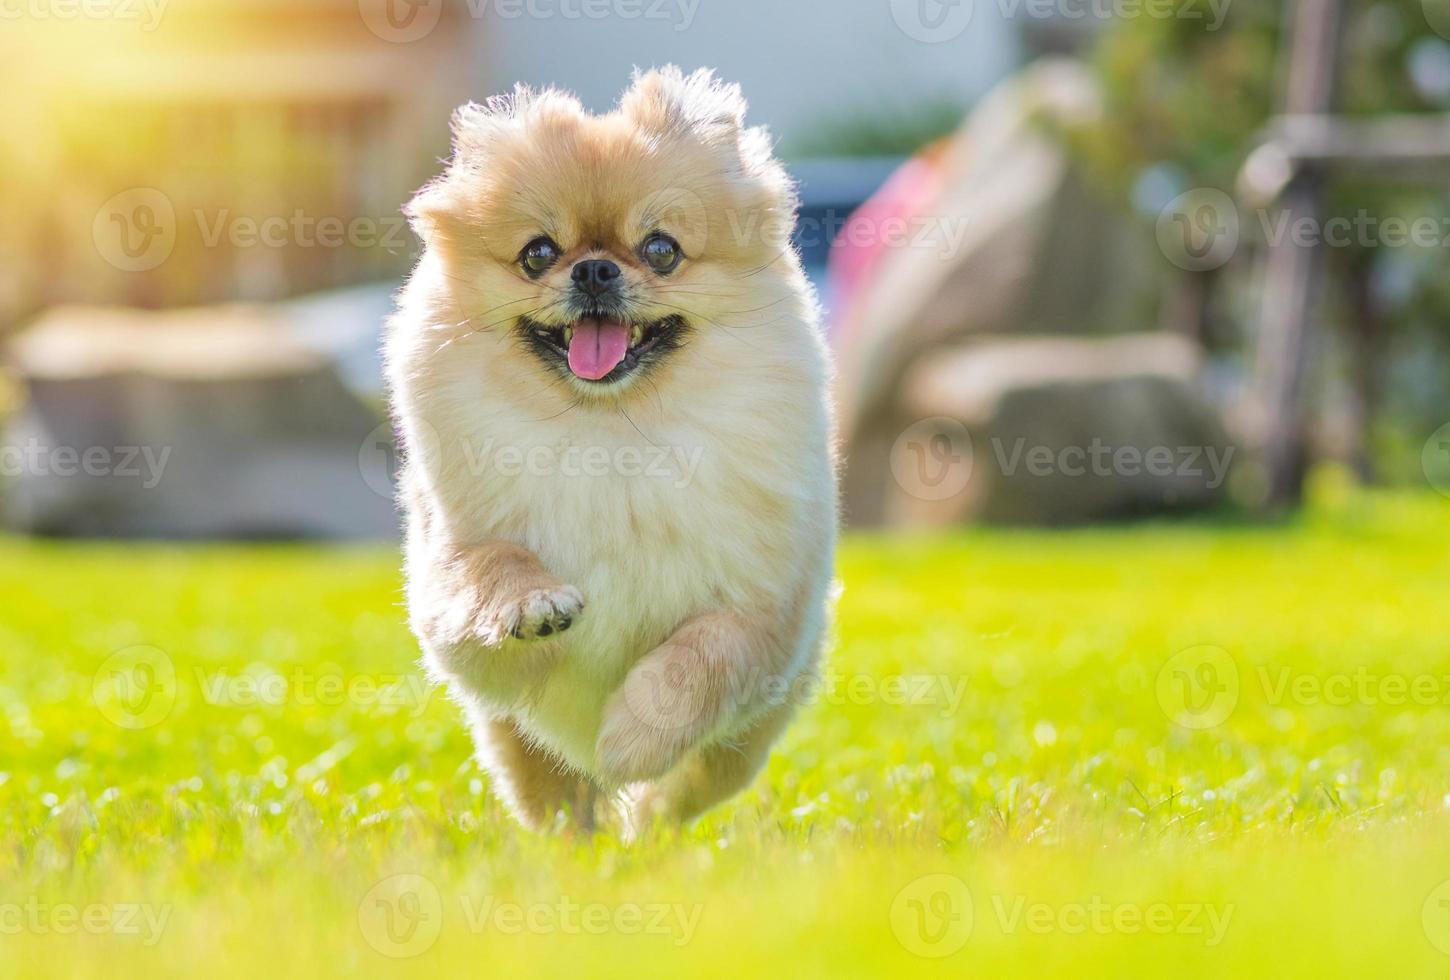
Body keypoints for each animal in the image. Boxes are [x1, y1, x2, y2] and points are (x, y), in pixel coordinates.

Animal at [385, 68, 841, 829]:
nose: (594, 269)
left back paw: (646, 820)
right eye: (538, 254)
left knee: (685, 790)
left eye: (661, 249)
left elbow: (704, 657)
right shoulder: (454, 592)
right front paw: (532, 604)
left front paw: (631, 738)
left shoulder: (764, 615)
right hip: (513, 745)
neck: (611, 435)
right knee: (555, 798)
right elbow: (493, 565)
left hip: (744, 744)